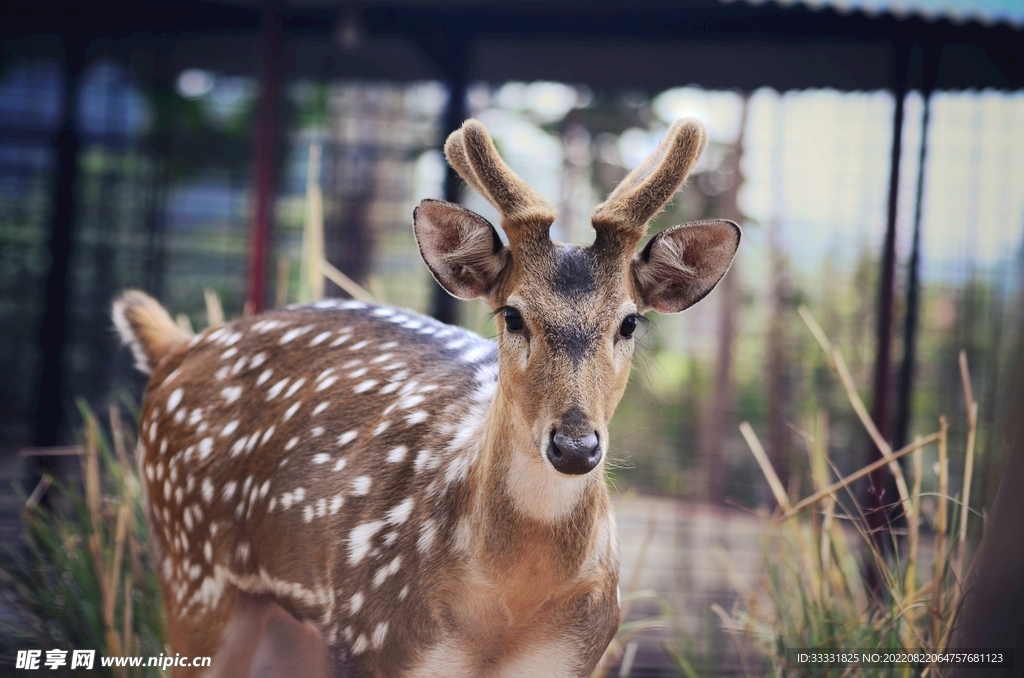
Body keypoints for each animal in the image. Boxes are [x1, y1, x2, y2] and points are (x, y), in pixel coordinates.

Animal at [112, 117, 739, 677]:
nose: (575, 445)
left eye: (629, 322)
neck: (508, 607)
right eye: (512, 314)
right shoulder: (372, 636)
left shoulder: (574, 653)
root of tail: (176, 347)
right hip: (193, 574)